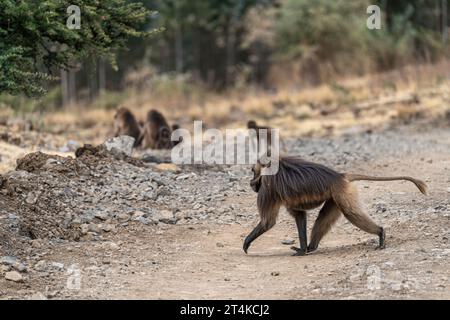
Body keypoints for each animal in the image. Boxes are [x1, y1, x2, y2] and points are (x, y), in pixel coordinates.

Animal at [244, 156, 428, 256]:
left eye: (253, 171)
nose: (251, 183)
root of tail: (340, 176)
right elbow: (299, 215)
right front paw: (303, 250)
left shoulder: (267, 188)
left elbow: (268, 222)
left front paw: (246, 244)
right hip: (336, 197)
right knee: (326, 216)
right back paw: (311, 247)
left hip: (343, 193)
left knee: (351, 213)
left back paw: (380, 234)